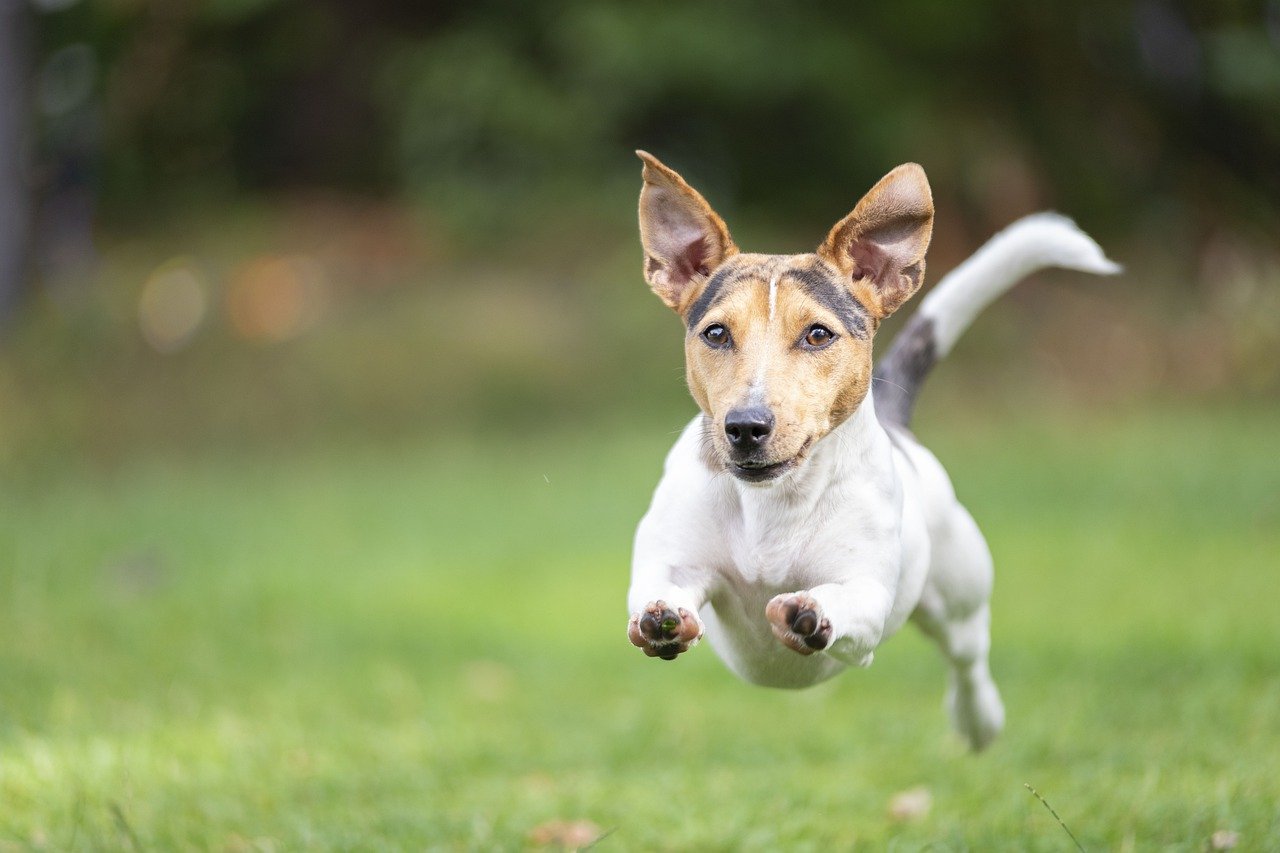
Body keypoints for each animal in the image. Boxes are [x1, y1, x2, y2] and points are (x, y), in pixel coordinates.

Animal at [624, 151, 1116, 742]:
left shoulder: (866, 593)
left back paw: (978, 717)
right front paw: (662, 620)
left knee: (968, 656)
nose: (745, 427)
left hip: (960, 596)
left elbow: (847, 601)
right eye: (716, 333)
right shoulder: (674, 561)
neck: (772, 503)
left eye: (818, 334)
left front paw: (810, 613)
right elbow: (661, 590)